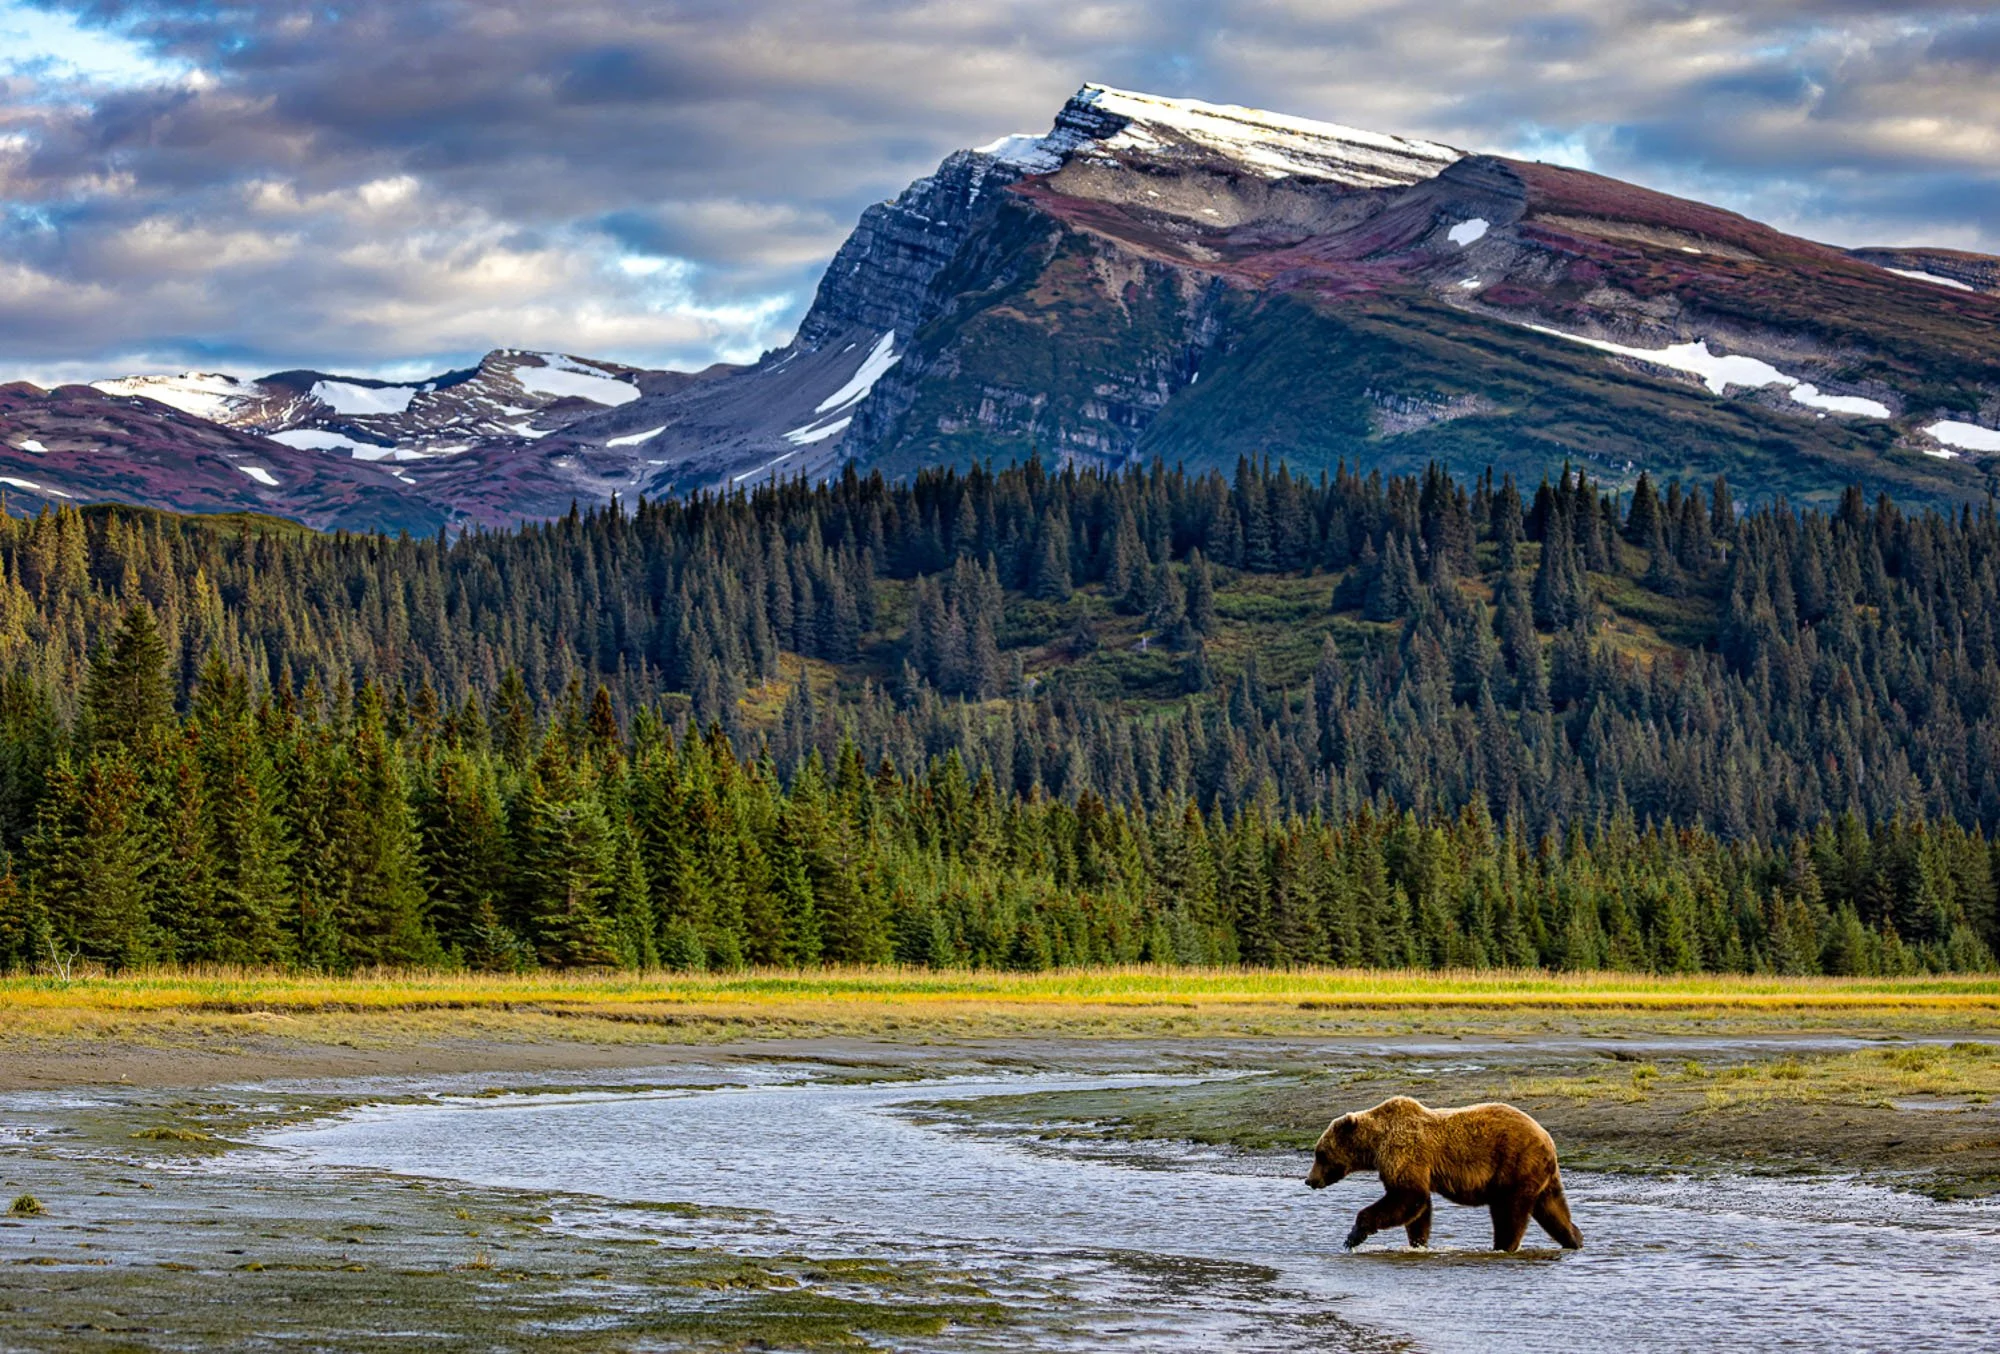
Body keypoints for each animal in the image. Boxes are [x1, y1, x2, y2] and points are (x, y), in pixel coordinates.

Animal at [1305, 1095, 1583, 1253]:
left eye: (1320, 1153)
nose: (1310, 1180)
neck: (1375, 1145)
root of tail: (1547, 1138)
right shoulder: (1414, 1165)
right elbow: (1418, 1209)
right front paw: (1418, 1243)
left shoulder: (1404, 1153)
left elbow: (1407, 1197)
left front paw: (1353, 1235)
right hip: (1540, 1174)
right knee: (1552, 1209)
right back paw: (1575, 1239)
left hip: (1514, 1164)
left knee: (1508, 1211)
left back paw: (1503, 1246)